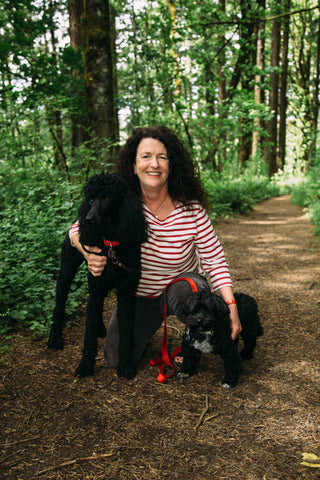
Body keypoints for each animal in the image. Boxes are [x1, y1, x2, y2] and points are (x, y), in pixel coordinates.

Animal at [47, 172, 148, 378]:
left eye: (108, 197)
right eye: (91, 199)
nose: (89, 219)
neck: (110, 245)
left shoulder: (126, 290)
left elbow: (126, 328)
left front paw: (126, 365)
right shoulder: (96, 284)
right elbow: (89, 332)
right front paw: (85, 365)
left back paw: (101, 328)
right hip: (67, 270)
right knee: (60, 302)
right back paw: (55, 337)